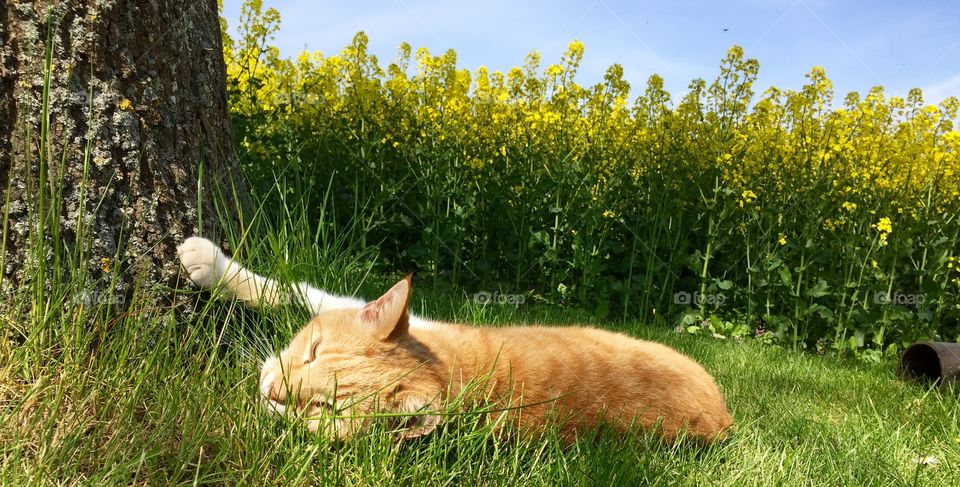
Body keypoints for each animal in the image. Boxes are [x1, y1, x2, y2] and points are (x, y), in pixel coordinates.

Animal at [176, 238, 732, 444]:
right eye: (311, 353)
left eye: (323, 410)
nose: (271, 393)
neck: (445, 364)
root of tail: (726, 417)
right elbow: (296, 292)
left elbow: (289, 289)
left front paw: (205, 261)